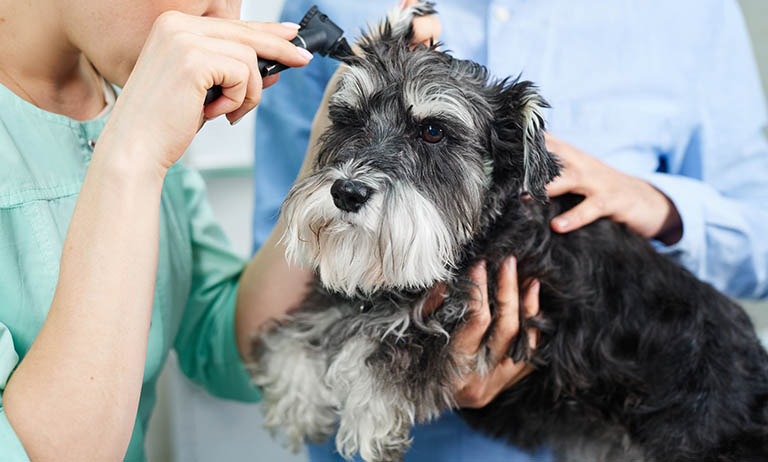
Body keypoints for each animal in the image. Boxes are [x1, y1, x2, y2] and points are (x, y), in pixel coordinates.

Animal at [249, 4, 768, 462]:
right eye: (348, 118)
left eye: (433, 132)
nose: (347, 192)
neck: (480, 232)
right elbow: (308, 327)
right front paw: (295, 396)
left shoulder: (473, 310)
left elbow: (386, 344)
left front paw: (368, 414)